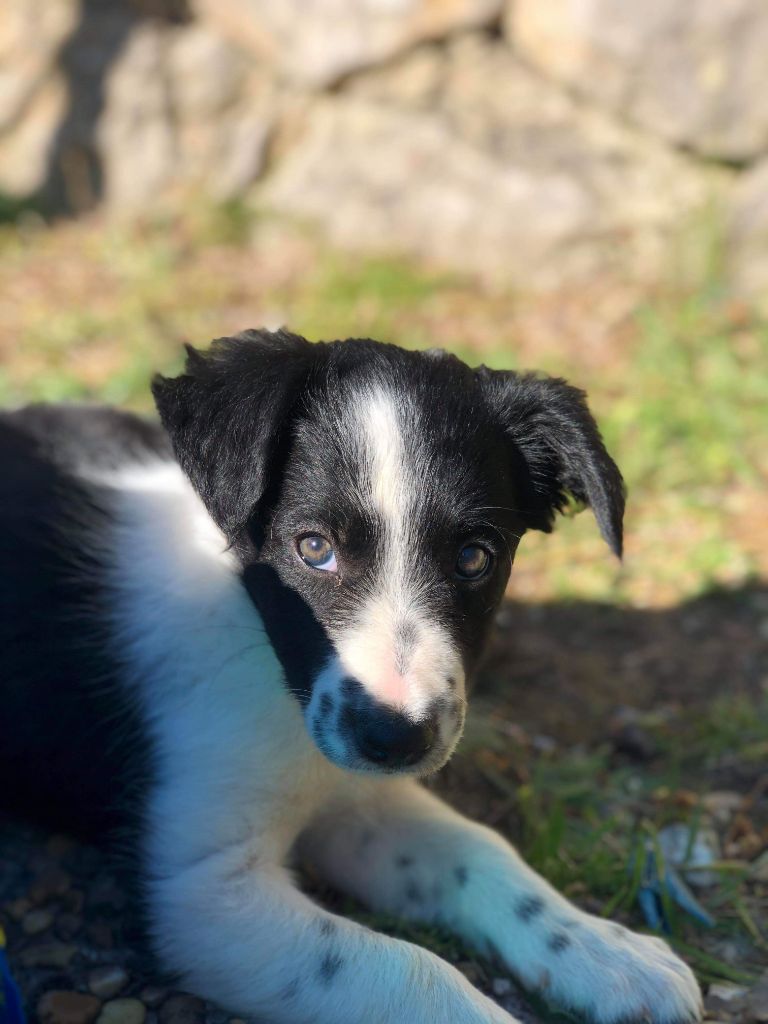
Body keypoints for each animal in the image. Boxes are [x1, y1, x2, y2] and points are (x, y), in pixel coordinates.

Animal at [0, 330, 702, 1024]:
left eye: (475, 558)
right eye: (314, 548)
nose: (398, 740)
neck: (266, 659)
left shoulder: (355, 798)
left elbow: (478, 849)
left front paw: (603, 949)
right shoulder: (201, 890)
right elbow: (411, 970)